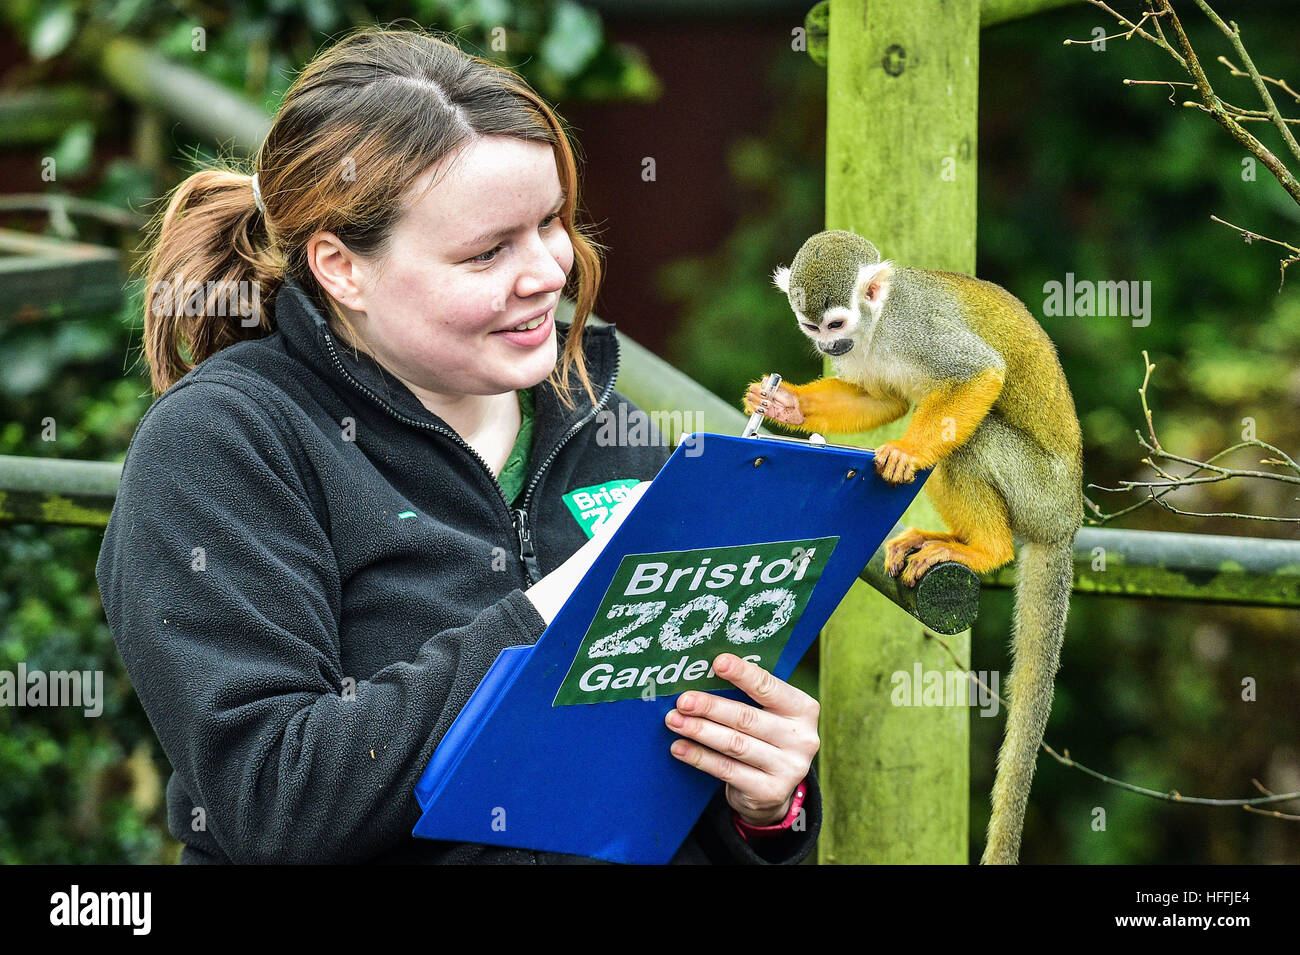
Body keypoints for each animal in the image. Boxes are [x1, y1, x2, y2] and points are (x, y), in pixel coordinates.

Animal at [748, 231, 1081, 867]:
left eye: (835, 322)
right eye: (811, 327)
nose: (831, 344)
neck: (877, 328)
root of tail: (1067, 521)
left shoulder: (917, 328)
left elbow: (977, 375)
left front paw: (901, 452)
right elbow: (878, 398)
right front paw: (786, 406)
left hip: (1038, 491)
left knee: (968, 438)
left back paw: (987, 549)